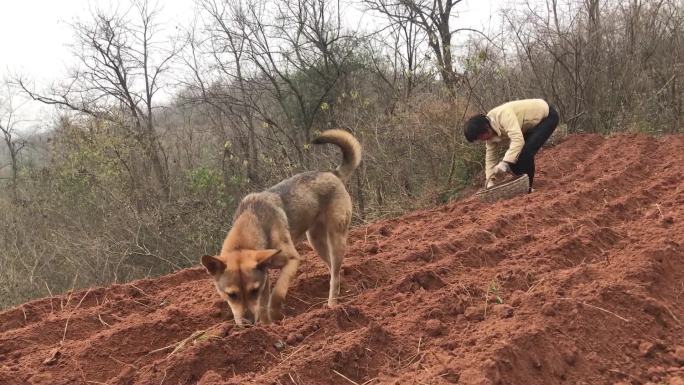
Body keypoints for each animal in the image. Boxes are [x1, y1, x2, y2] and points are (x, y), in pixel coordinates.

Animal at [200, 130, 360, 324]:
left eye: (253, 291)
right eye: (231, 295)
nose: (248, 323)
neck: (255, 221)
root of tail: (332, 173)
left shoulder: (292, 260)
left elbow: (277, 294)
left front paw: (275, 316)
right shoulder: (264, 275)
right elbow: (263, 305)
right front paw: (267, 326)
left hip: (336, 238)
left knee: (334, 275)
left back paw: (331, 306)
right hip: (316, 242)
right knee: (334, 271)